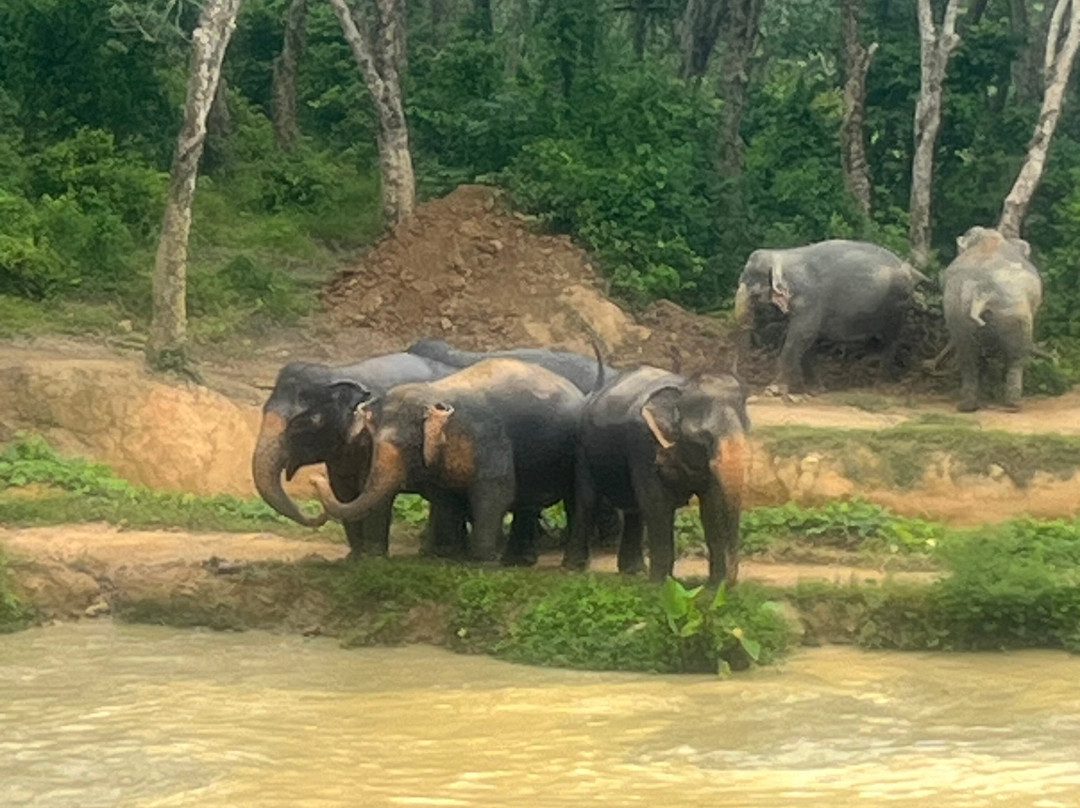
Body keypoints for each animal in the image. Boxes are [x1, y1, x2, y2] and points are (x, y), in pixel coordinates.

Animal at [252, 353, 458, 558]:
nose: (321, 513)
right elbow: (343, 491)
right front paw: (354, 556)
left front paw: (373, 557)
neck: (339, 372)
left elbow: (373, 491)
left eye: (300, 424)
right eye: (263, 410)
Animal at [312, 358, 587, 564]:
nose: (315, 478)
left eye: (409, 445)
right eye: (372, 441)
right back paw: (517, 561)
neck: (435, 393)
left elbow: (496, 492)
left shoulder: (489, 438)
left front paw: (481, 562)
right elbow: (444, 497)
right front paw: (452, 557)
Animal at [562, 365, 750, 585]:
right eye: (702, 438)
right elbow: (657, 504)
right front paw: (662, 585)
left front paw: (714, 588)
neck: (682, 387)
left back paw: (633, 571)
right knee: (587, 500)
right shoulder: (643, 443)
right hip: (582, 447)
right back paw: (573, 569)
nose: (730, 583)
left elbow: (712, 507)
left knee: (634, 509)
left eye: (747, 428)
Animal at [733, 240, 929, 395]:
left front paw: (773, 390)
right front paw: (816, 390)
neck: (781, 255)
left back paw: (879, 385)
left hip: (898, 304)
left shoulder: (810, 299)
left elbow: (801, 336)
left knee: (891, 340)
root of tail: (910, 268)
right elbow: (808, 342)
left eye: (753, 289)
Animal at [942, 226, 1043, 412]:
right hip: (1013, 311)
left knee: (967, 354)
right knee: (1017, 355)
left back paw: (968, 406)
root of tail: (980, 292)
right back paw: (1013, 404)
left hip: (958, 312)